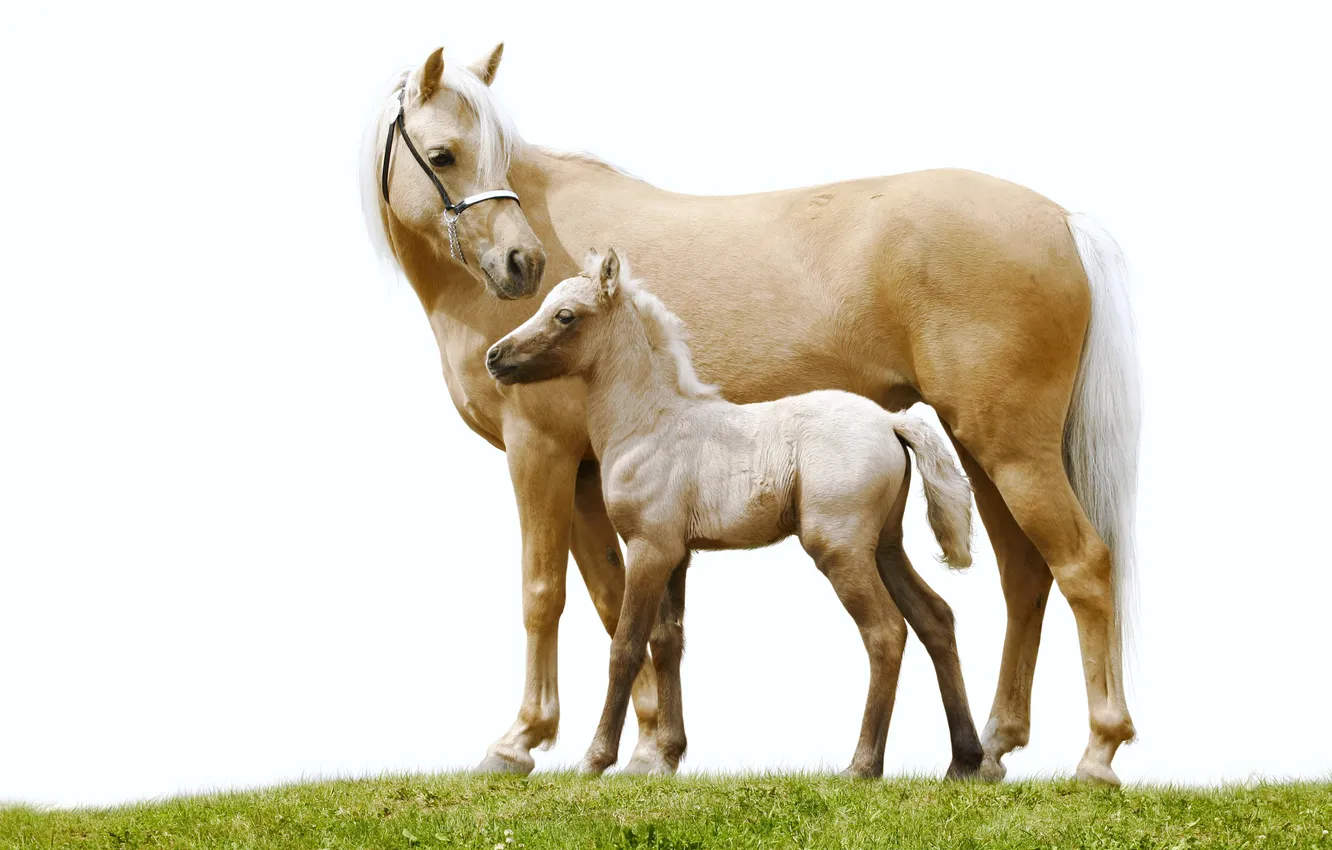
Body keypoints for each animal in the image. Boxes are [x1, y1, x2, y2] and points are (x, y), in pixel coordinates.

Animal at [486, 249, 979, 778]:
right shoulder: (677, 555)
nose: (495, 357)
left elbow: (626, 644)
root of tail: (890, 421)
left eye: (565, 315)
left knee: (886, 633)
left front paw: (596, 759)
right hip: (884, 546)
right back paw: (966, 761)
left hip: (840, 549)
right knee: (935, 618)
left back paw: (862, 765)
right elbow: (667, 640)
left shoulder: (649, 548)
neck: (649, 425)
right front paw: (665, 754)